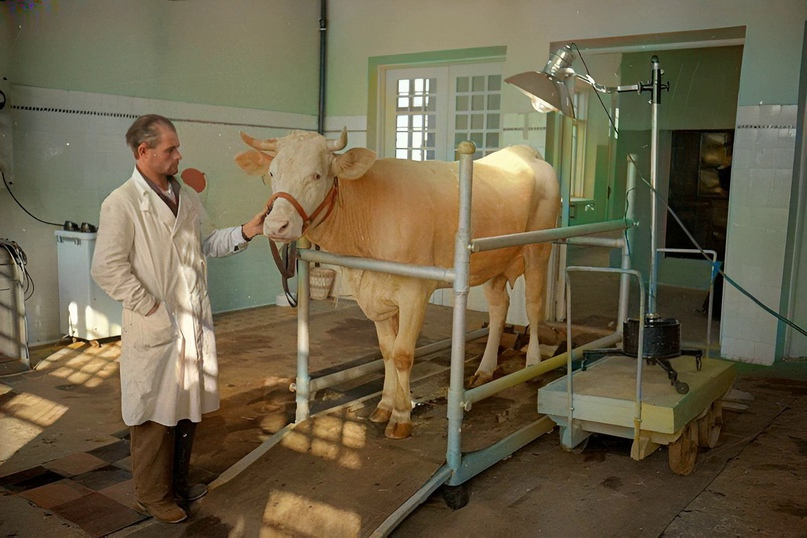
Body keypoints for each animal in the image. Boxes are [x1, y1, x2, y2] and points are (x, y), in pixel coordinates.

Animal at [237, 129, 560, 436]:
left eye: (316, 175)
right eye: (272, 173)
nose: (276, 225)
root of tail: (524, 151)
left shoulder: (414, 293)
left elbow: (403, 355)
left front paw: (402, 417)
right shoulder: (376, 293)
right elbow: (387, 352)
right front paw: (384, 406)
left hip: (538, 249)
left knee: (533, 306)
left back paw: (533, 364)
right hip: (494, 262)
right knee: (498, 309)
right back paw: (485, 370)